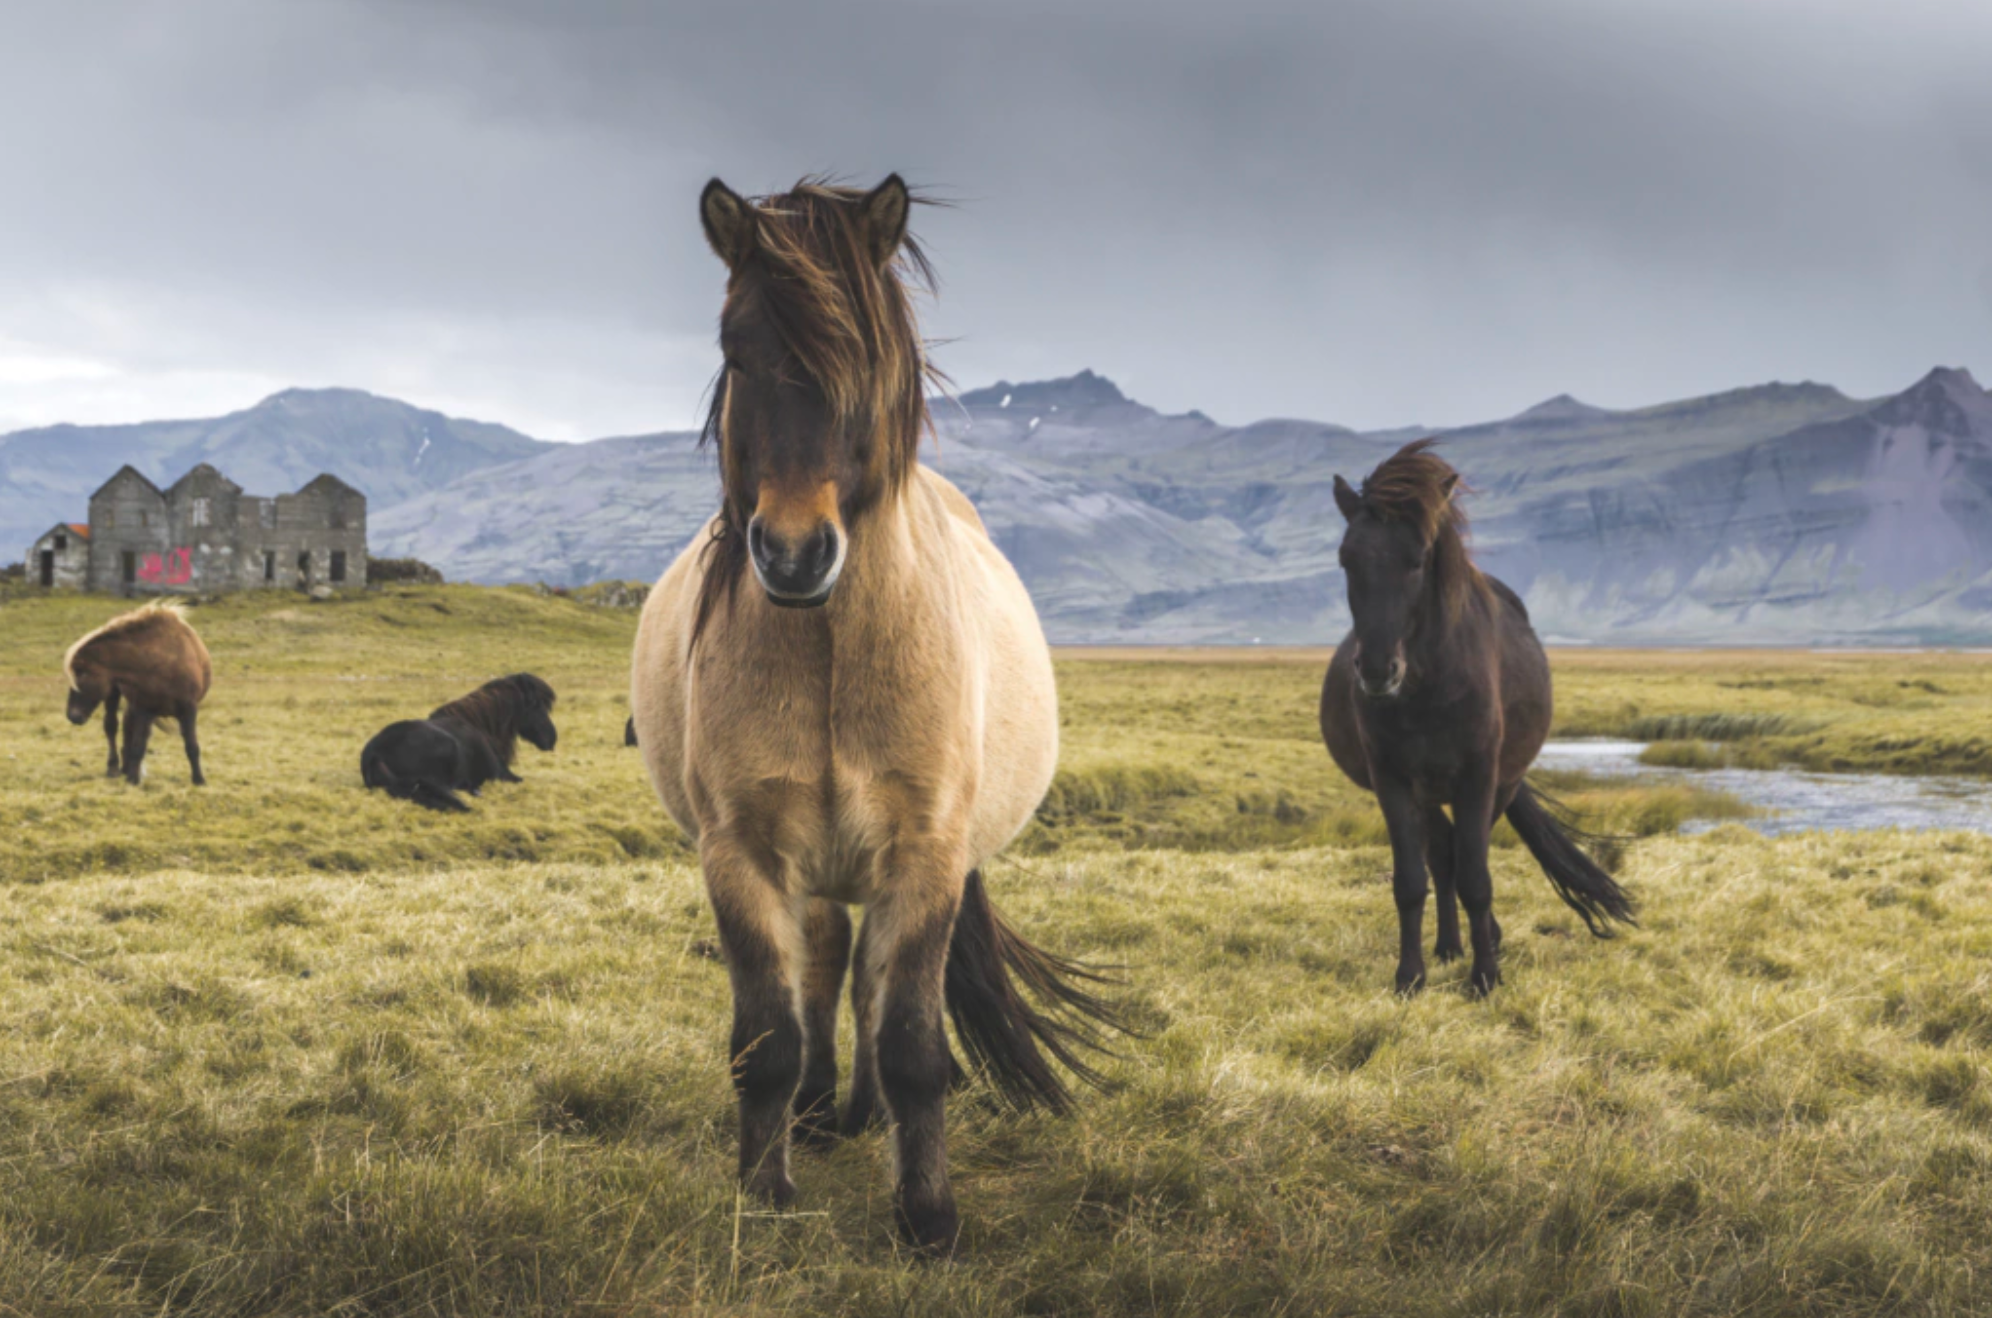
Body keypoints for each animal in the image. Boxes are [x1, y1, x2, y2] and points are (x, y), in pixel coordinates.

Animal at [63, 600, 212, 786]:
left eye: (81, 673)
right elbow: (138, 745)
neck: (162, 662)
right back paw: (114, 767)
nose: (72, 716)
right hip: (114, 694)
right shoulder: (145, 709)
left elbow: (191, 745)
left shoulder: (188, 709)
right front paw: (133, 779)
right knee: (111, 726)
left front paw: (198, 779)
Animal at [630, 175, 1121, 1254]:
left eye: (869, 359)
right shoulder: (742, 853)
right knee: (823, 965)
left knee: (861, 982)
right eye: (735, 350)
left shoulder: (925, 852)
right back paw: (819, 1115)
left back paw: (858, 1115)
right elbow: (768, 1038)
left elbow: (911, 1043)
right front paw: (764, 1196)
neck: (827, 649)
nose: (793, 553)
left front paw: (927, 1217)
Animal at [1319, 440, 1636, 996]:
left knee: (1462, 857)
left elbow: (1477, 877)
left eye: (1418, 559)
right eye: (1345, 560)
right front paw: (1410, 977)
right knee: (1442, 856)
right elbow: (1410, 881)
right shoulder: (1392, 779)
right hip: (1429, 792)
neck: (1429, 686)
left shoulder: (1479, 777)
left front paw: (1486, 977)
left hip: (1500, 785)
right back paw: (1449, 945)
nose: (1377, 669)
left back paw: (1482, 940)